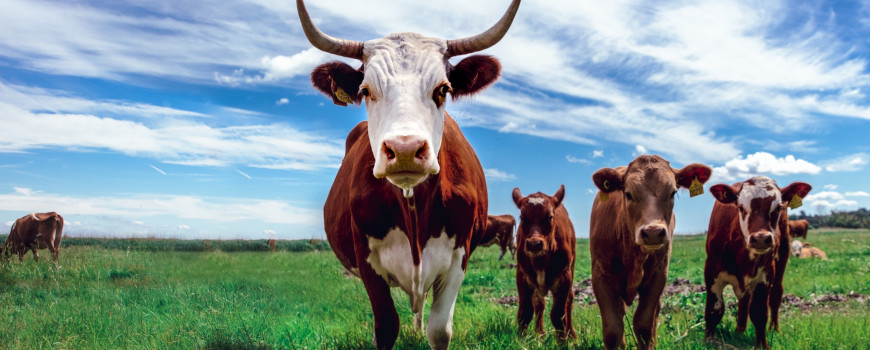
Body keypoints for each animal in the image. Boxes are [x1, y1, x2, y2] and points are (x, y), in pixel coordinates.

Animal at [296, 1, 520, 348]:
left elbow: (439, 330)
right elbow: (387, 325)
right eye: (366, 90)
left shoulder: (459, 258)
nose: (404, 149)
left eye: (443, 89)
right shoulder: (366, 259)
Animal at [516, 185, 576, 340]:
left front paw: (563, 341)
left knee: (570, 299)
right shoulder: (522, 275)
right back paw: (540, 333)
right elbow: (525, 312)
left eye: (549, 217)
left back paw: (572, 334)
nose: (534, 244)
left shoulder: (564, 277)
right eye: (522, 217)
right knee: (539, 302)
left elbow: (558, 315)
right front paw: (521, 339)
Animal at [588, 156, 712, 350]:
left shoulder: (658, 275)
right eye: (628, 194)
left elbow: (644, 324)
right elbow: (613, 328)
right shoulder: (600, 276)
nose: (653, 232)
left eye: (673, 193)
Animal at [704, 176, 816, 348]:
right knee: (743, 301)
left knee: (776, 294)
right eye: (741, 207)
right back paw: (740, 330)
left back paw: (773, 328)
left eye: (778, 207)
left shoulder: (765, 275)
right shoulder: (711, 271)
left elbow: (759, 313)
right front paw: (709, 341)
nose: (761, 238)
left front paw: (762, 345)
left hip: (783, 256)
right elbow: (714, 310)